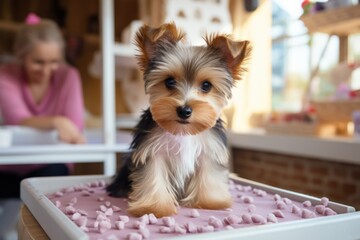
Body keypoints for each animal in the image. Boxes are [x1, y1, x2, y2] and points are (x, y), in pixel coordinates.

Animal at [107, 22, 250, 218]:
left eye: (206, 85)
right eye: (169, 82)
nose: (184, 110)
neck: (183, 132)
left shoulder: (209, 150)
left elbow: (209, 173)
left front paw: (210, 201)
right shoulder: (151, 150)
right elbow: (153, 175)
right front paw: (153, 207)